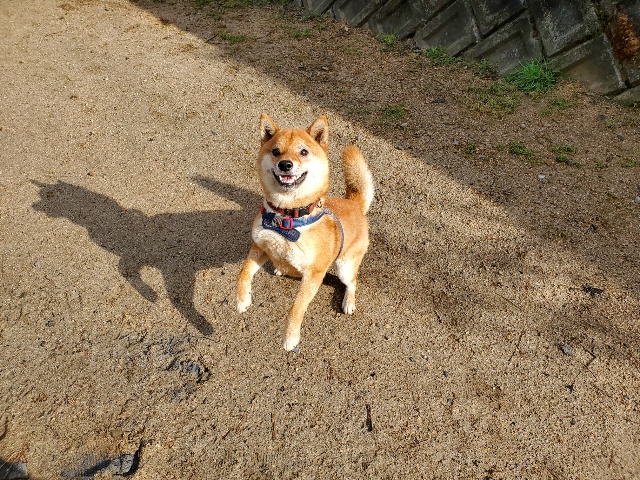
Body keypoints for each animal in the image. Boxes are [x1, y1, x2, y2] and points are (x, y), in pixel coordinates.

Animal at [237, 114, 374, 351]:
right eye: (276, 151)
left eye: (303, 152)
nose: (285, 164)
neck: (287, 218)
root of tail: (354, 204)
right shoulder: (260, 246)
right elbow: (243, 273)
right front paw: (242, 299)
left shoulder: (313, 275)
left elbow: (297, 307)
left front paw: (291, 337)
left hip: (345, 267)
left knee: (352, 282)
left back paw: (348, 301)